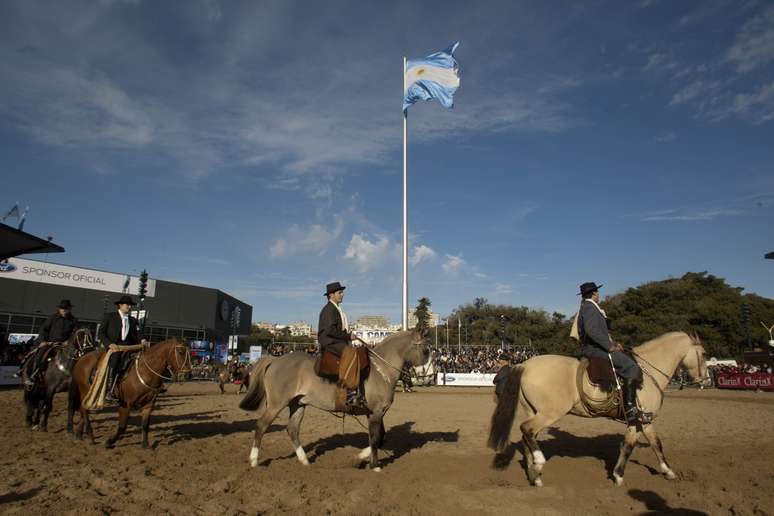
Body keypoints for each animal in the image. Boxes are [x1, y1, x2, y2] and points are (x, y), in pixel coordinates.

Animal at [239, 330, 428, 472]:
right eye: (426, 350)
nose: (425, 375)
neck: (380, 370)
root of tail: (276, 359)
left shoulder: (376, 413)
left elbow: (380, 437)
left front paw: (359, 457)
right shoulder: (376, 413)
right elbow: (375, 438)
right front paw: (374, 465)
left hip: (298, 404)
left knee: (292, 429)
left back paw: (304, 460)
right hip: (276, 405)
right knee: (261, 425)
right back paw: (254, 460)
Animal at [488, 332, 712, 486]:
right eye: (703, 354)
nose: (707, 380)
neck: (648, 373)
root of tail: (525, 365)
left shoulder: (643, 420)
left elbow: (655, 444)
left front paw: (668, 471)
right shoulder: (638, 419)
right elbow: (630, 446)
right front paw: (618, 476)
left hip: (534, 411)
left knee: (527, 436)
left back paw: (535, 475)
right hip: (549, 413)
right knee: (527, 430)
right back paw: (539, 461)